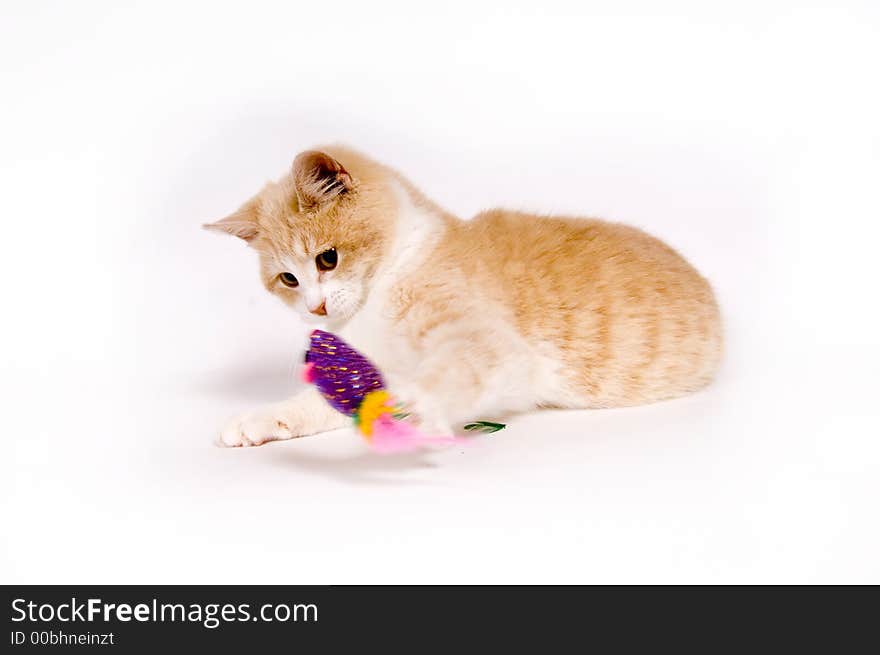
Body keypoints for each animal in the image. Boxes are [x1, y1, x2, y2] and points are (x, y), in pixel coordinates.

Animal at [205, 147, 720, 446]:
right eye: (288, 279)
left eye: (327, 258)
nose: (316, 306)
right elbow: (323, 400)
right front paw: (265, 419)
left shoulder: (490, 342)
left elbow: (453, 372)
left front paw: (418, 408)